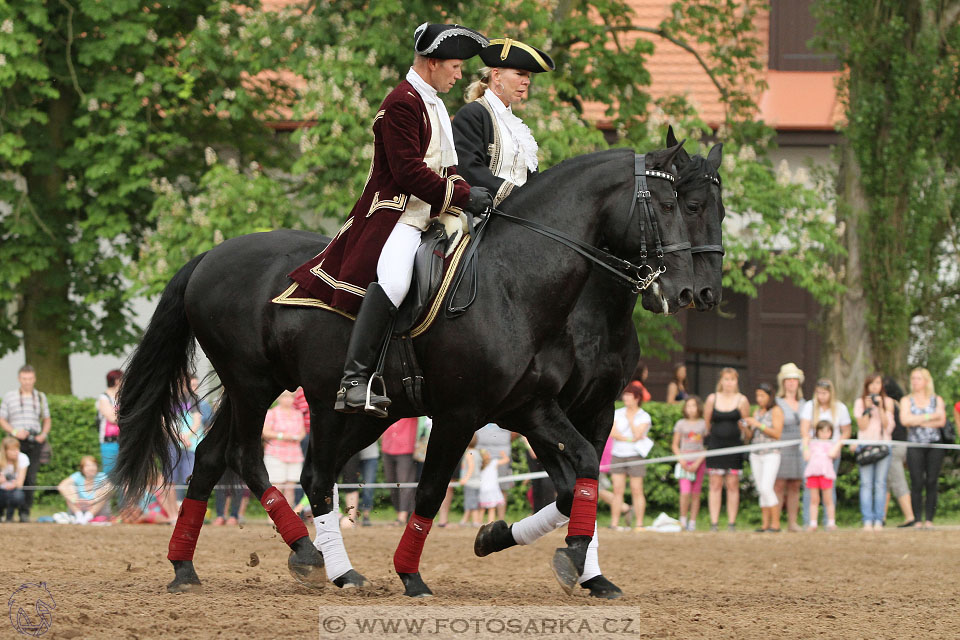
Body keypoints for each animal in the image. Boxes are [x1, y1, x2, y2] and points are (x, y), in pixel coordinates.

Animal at [110, 144, 688, 596]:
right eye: (669, 203)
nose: (685, 290)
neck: (515, 279)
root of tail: (210, 256)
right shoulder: (462, 414)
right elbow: (432, 490)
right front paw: (411, 575)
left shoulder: (533, 407)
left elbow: (580, 472)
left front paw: (558, 555)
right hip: (259, 387)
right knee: (255, 458)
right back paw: (317, 558)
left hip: (277, 392)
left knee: (219, 459)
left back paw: (189, 565)